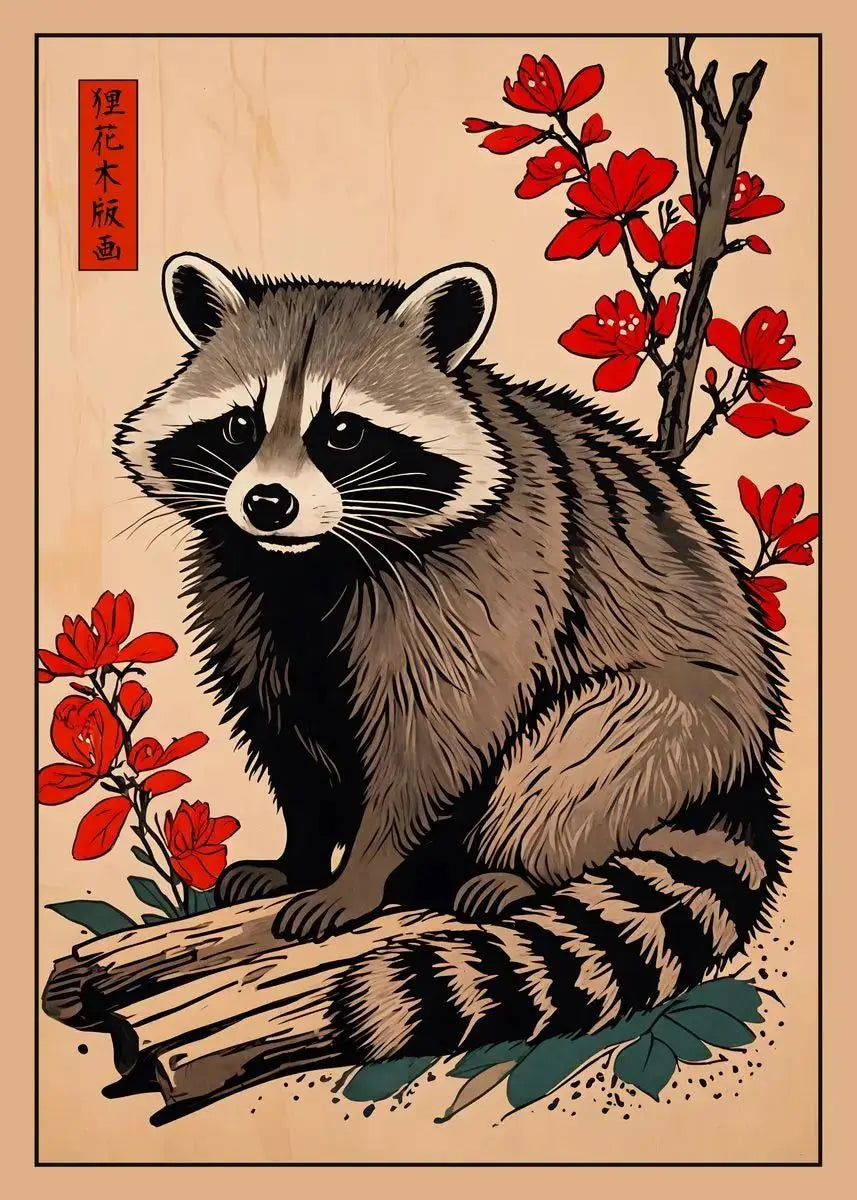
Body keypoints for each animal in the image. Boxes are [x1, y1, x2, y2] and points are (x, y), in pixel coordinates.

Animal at [114, 251, 789, 1061]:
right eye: (241, 423)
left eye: (342, 433)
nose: (266, 504)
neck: (311, 562)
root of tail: (746, 776)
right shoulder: (247, 593)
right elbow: (287, 730)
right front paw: (299, 852)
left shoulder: (487, 571)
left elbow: (436, 735)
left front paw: (361, 872)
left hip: (686, 727)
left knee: (583, 744)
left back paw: (520, 866)